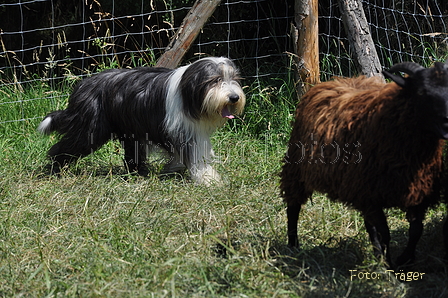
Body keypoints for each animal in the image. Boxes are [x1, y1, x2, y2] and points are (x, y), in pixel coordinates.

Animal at [38, 57, 245, 185]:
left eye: (234, 79)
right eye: (215, 80)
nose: (234, 97)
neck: (188, 92)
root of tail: (82, 86)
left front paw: (175, 168)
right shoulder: (185, 131)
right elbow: (194, 156)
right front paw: (210, 179)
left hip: (128, 131)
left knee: (132, 154)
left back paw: (138, 172)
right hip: (90, 130)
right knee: (65, 147)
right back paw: (55, 168)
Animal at [280, 61, 448, 266]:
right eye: (422, 91)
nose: (447, 123)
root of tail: (331, 82)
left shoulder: (418, 194)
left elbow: (415, 230)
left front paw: (403, 259)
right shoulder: (371, 195)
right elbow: (385, 234)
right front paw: (388, 265)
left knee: (370, 226)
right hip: (297, 167)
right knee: (293, 206)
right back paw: (293, 246)